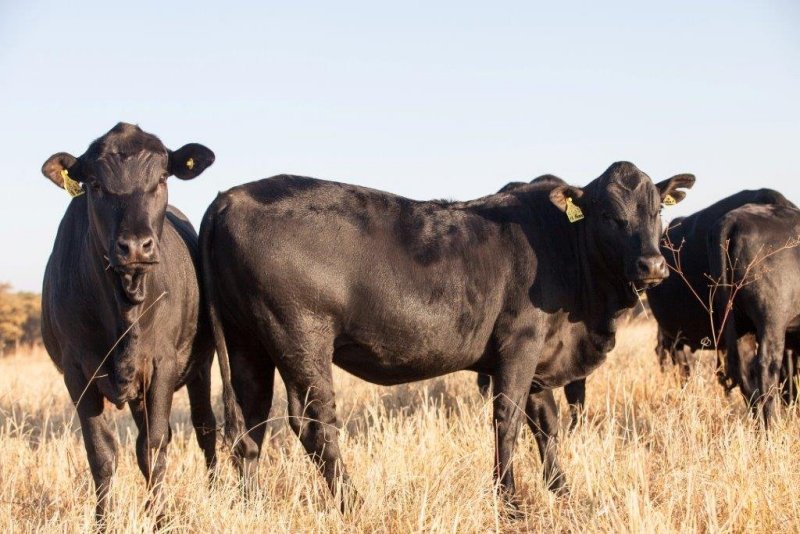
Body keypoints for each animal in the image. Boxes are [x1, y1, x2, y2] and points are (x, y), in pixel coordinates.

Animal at [40, 123, 216, 524]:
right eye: (95, 184)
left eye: (162, 178)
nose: (135, 246)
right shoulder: (77, 373)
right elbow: (102, 453)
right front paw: (102, 521)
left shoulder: (162, 365)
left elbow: (152, 447)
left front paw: (161, 518)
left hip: (200, 367)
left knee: (205, 428)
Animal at [201, 161, 694, 512]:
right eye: (609, 216)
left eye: (657, 210)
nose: (653, 265)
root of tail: (230, 197)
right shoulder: (519, 346)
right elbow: (508, 421)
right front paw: (510, 502)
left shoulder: (540, 359)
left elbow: (547, 426)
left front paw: (563, 493)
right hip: (300, 338)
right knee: (314, 425)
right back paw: (354, 504)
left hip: (248, 345)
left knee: (251, 426)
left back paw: (251, 507)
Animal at [709, 202, 800, 428]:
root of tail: (733, 219)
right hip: (772, 320)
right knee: (766, 370)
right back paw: (773, 428)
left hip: (739, 322)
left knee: (746, 374)